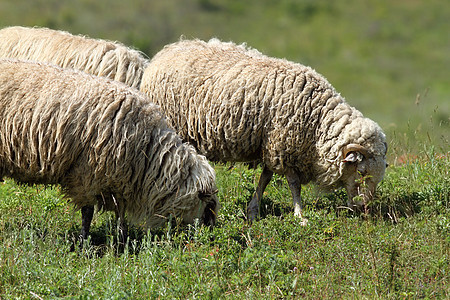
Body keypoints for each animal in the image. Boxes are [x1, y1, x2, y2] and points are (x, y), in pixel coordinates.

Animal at [0, 59, 218, 244]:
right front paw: (84, 242)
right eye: (207, 203)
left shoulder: (120, 181)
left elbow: (120, 214)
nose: (210, 232)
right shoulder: (86, 175)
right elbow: (87, 212)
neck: (149, 152)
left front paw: (122, 240)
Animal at [141, 38, 386, 224]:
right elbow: (294, 185)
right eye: (362, 172)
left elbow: (265, 178)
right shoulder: (284, 145)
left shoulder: (271, 144)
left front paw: (253, 210)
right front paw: (300, 215)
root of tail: (168, 49)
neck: (317, 120)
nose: (364, 208)